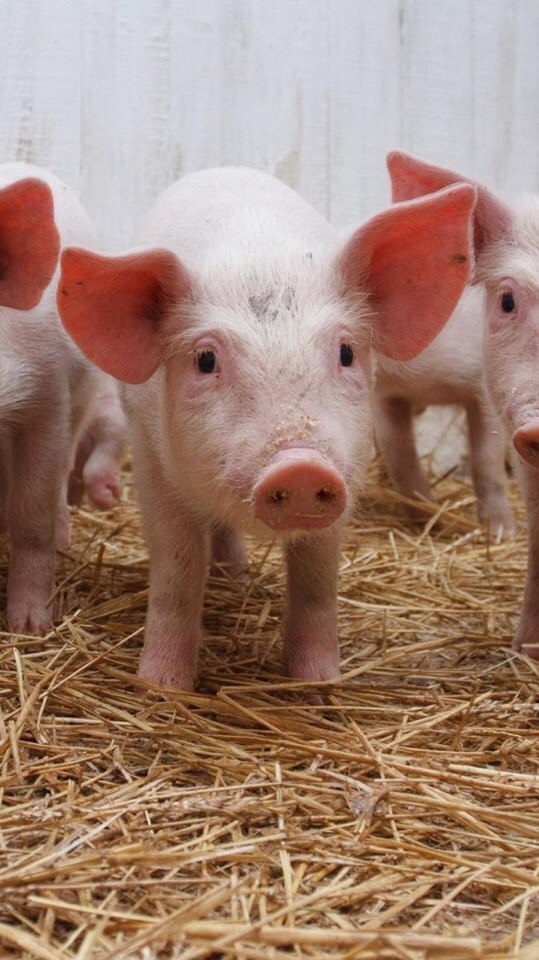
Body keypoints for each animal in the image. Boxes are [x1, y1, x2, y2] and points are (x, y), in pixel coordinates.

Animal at [57, 167, 476, 690]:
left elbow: (316, 578)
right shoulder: (152, 461)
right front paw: (162, 689)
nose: (300, 467)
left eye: (346, 352)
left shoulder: (345, 475)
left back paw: (236, 576)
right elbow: (177, 567)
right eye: (205, 359)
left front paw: (317, 688)